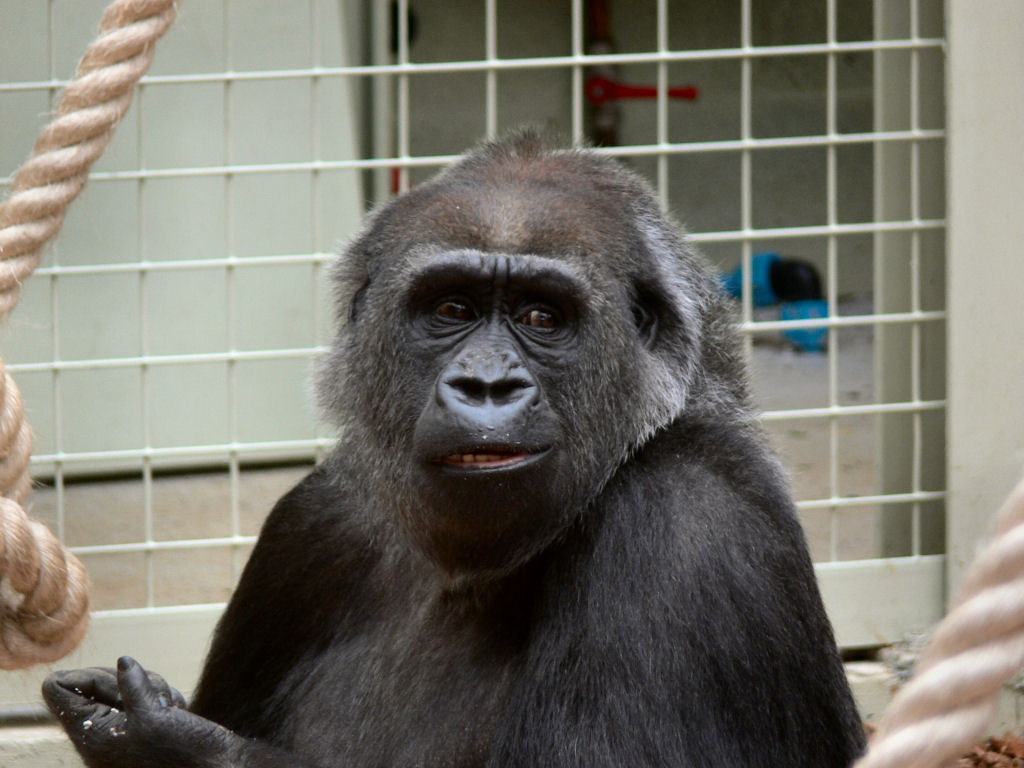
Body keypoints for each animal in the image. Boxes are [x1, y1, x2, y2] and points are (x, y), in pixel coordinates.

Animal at [43, 131, 865, 768]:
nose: (486, 386)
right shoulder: (311, 523)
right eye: (451, 309)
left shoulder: (687, 525)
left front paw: (166, 745)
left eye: (542, 316)